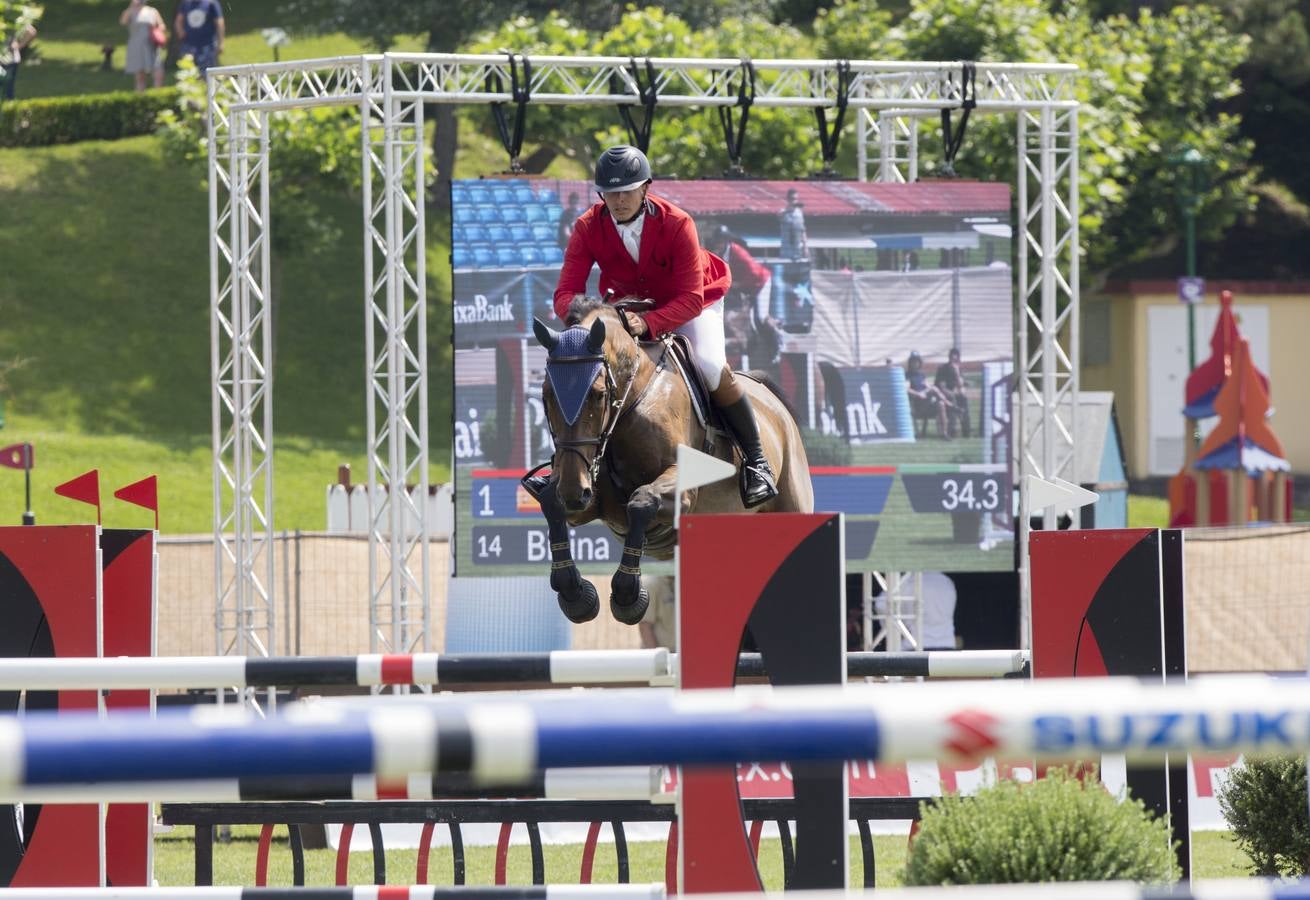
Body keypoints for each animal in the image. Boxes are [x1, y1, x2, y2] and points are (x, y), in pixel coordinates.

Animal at [524, 296, 812, 626]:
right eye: (547, 395)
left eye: (597, 395)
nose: (573, 490)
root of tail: (771, 401)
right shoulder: (588, 495)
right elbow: (552, 504)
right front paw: (575, 595)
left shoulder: (681, 491)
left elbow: (641, 500)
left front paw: (628, 596)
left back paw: (758, 478)